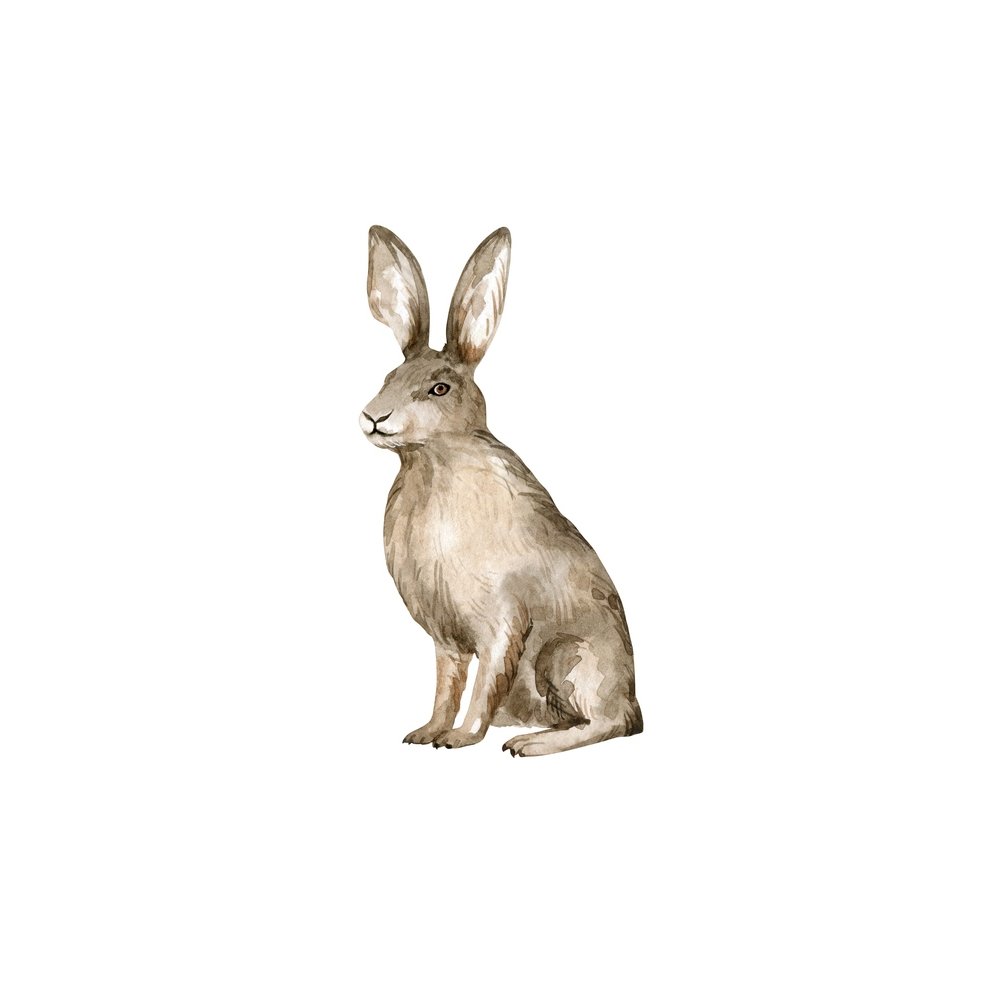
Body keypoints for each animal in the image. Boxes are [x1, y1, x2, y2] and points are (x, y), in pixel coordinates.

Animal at [360, 225, 642, 756]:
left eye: (440, 389)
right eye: (389, 377)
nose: (372, 417)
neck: (433, 461)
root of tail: (633, 697)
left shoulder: (503, 622)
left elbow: (484, 684)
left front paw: (459, 739)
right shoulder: (446, 639)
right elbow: (447, 686)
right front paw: (426, 733)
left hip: (567, 656)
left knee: (610, 723)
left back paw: (529, 744)